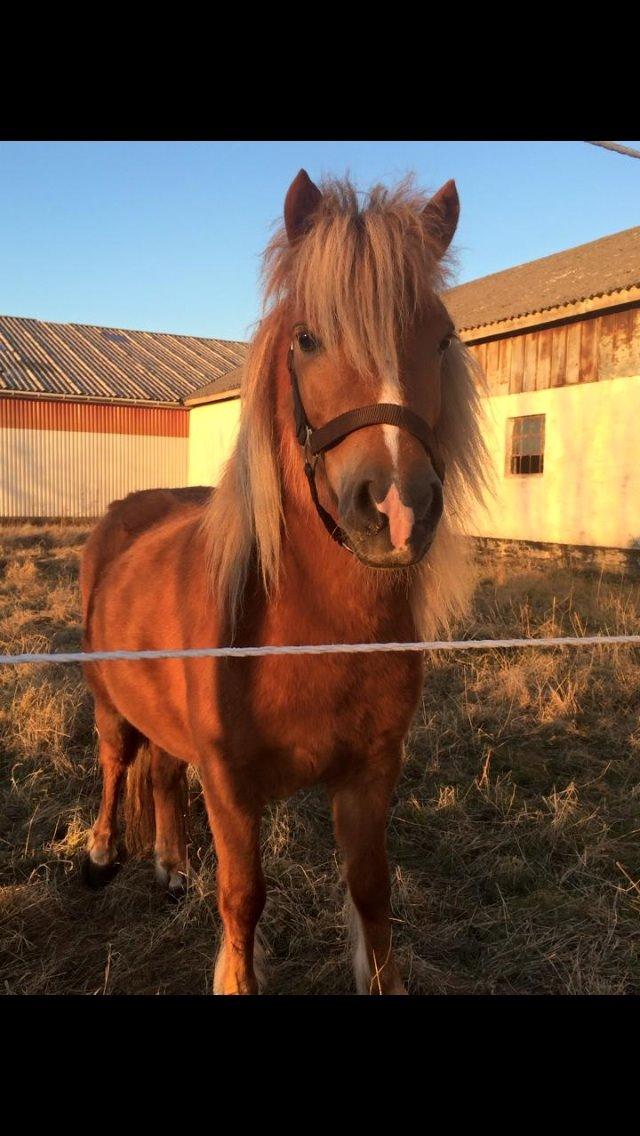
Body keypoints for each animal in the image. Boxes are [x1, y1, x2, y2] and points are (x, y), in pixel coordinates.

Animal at [82, 170, 488, 995]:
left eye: (441, 338)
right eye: (307, 339)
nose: (397, 509)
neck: (310, 630)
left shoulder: (371, 773)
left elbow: (371, 889)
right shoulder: (231, 787)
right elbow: (243, 896)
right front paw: (236, 977)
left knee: (161, 774)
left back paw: (170, 867)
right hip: (108, 700)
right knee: (115, 763)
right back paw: (103, 853)